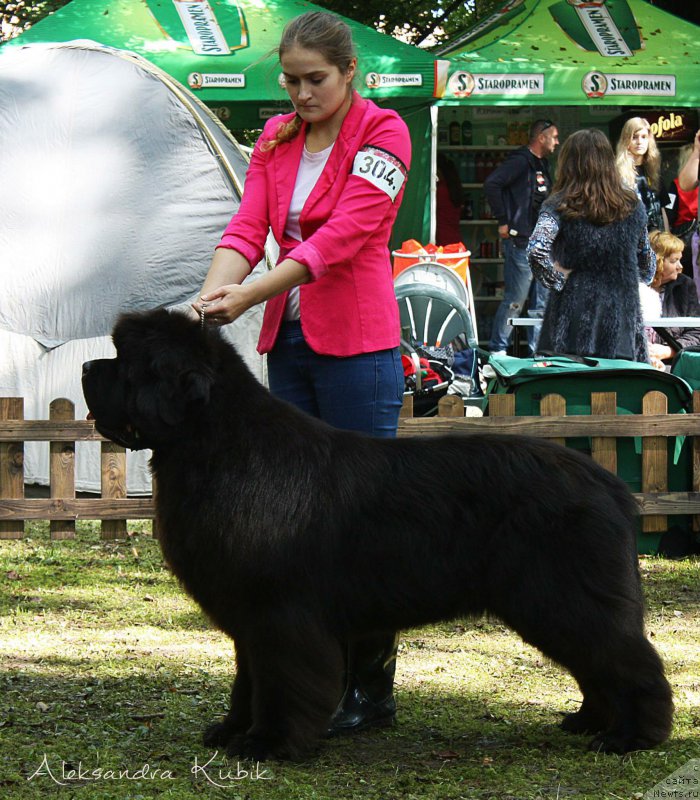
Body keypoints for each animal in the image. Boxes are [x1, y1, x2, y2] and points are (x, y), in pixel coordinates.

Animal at [80, 310, 672, 760]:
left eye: (126, 363)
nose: (86, 365)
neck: (216, 446)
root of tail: (611, 486)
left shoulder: (279, 615)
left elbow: (281, 680)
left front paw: (268, 743)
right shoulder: (248, 616)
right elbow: (248, 679)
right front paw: (232, 731)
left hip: (565, 596)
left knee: (627, 659)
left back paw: (632, 736)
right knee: (596, 661)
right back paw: (591, 722)